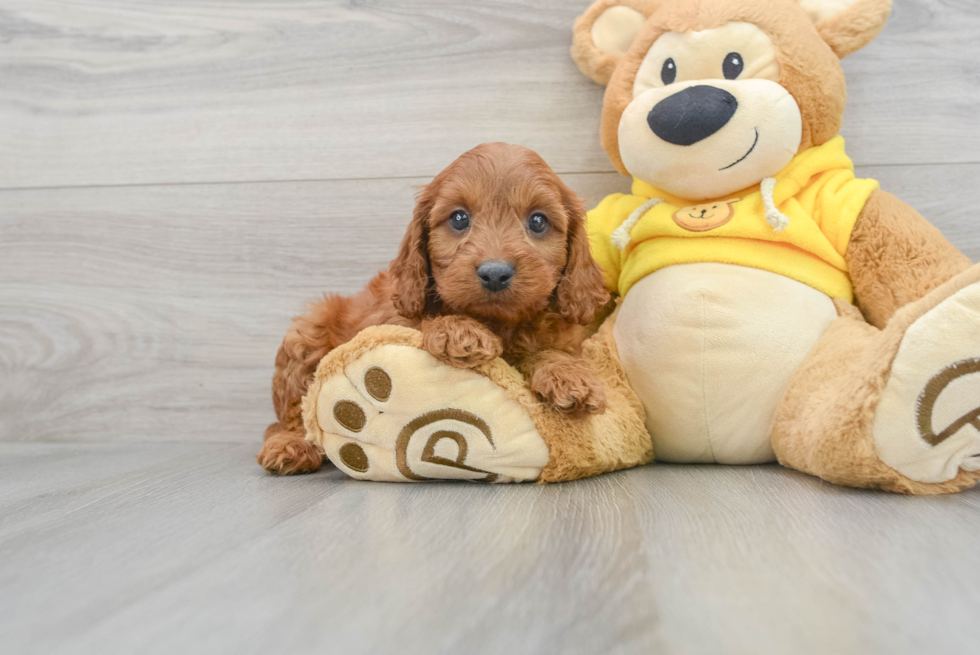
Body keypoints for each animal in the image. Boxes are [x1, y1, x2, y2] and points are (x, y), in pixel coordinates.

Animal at [260, 144, 612, 474]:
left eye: (538, 221)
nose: (495, 273)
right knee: (292, 415)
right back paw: (289, 446)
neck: (498, 322)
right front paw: (458, 331)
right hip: (307, 332)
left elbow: (551, 351)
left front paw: (570, 376)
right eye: (459, 218)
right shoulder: (395, 317)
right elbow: (424, 323)